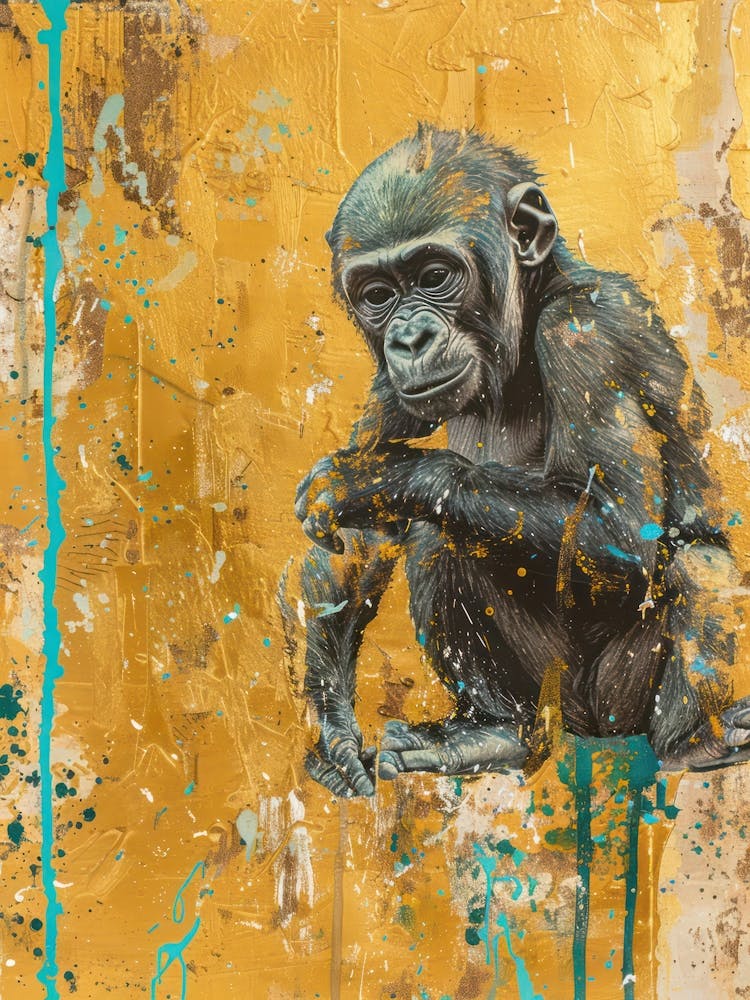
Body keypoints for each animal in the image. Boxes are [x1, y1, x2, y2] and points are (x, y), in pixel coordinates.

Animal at [293, 125, 750, 797]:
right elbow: (355, 547)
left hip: (617, 698)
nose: (408, 338)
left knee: (700, 563)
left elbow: (617, 533)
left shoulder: (585, 332)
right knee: (439, 541)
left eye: (435, 275)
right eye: (377, 295)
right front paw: (334, 735)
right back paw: (489, 733)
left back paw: (696, 742)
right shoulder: (389, 387)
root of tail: (590, 733)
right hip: (551, 696)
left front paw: (376, 480)